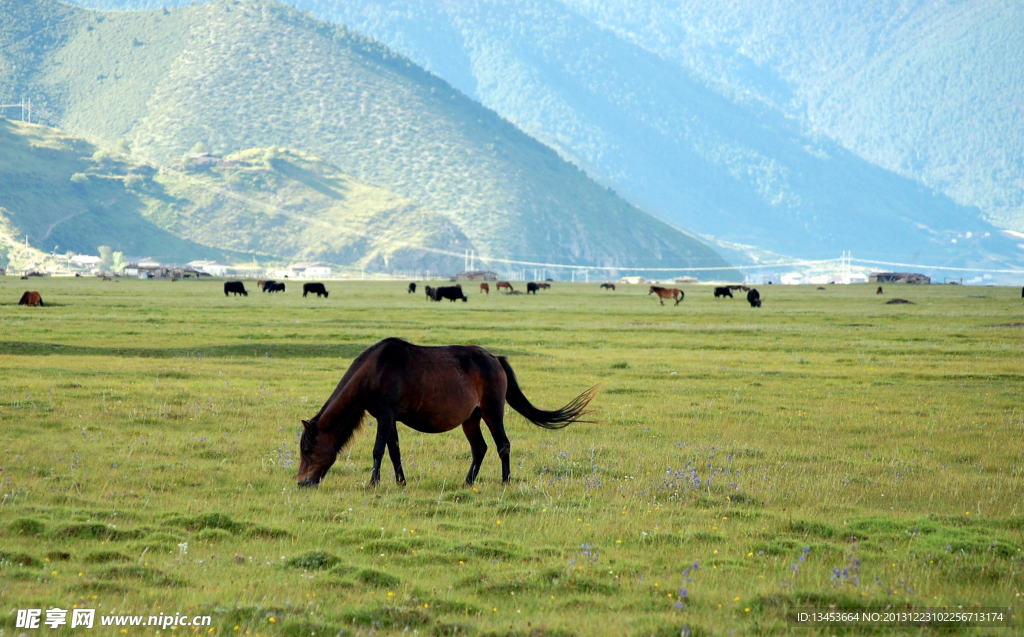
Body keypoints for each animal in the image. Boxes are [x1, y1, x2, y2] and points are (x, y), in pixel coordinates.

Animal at [296, 340, 598, 489]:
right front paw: (401, 482)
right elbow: (394, 451)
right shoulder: (389, 418)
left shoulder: (385, 415)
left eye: (307, 451)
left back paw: (505, 481)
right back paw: (467, 482)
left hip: (492, 411)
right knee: (480, 448)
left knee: (503, 445)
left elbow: (378, 450)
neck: (374, 371)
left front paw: (373, 482)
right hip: (471, 418)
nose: (301, 483)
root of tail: (495, 359)